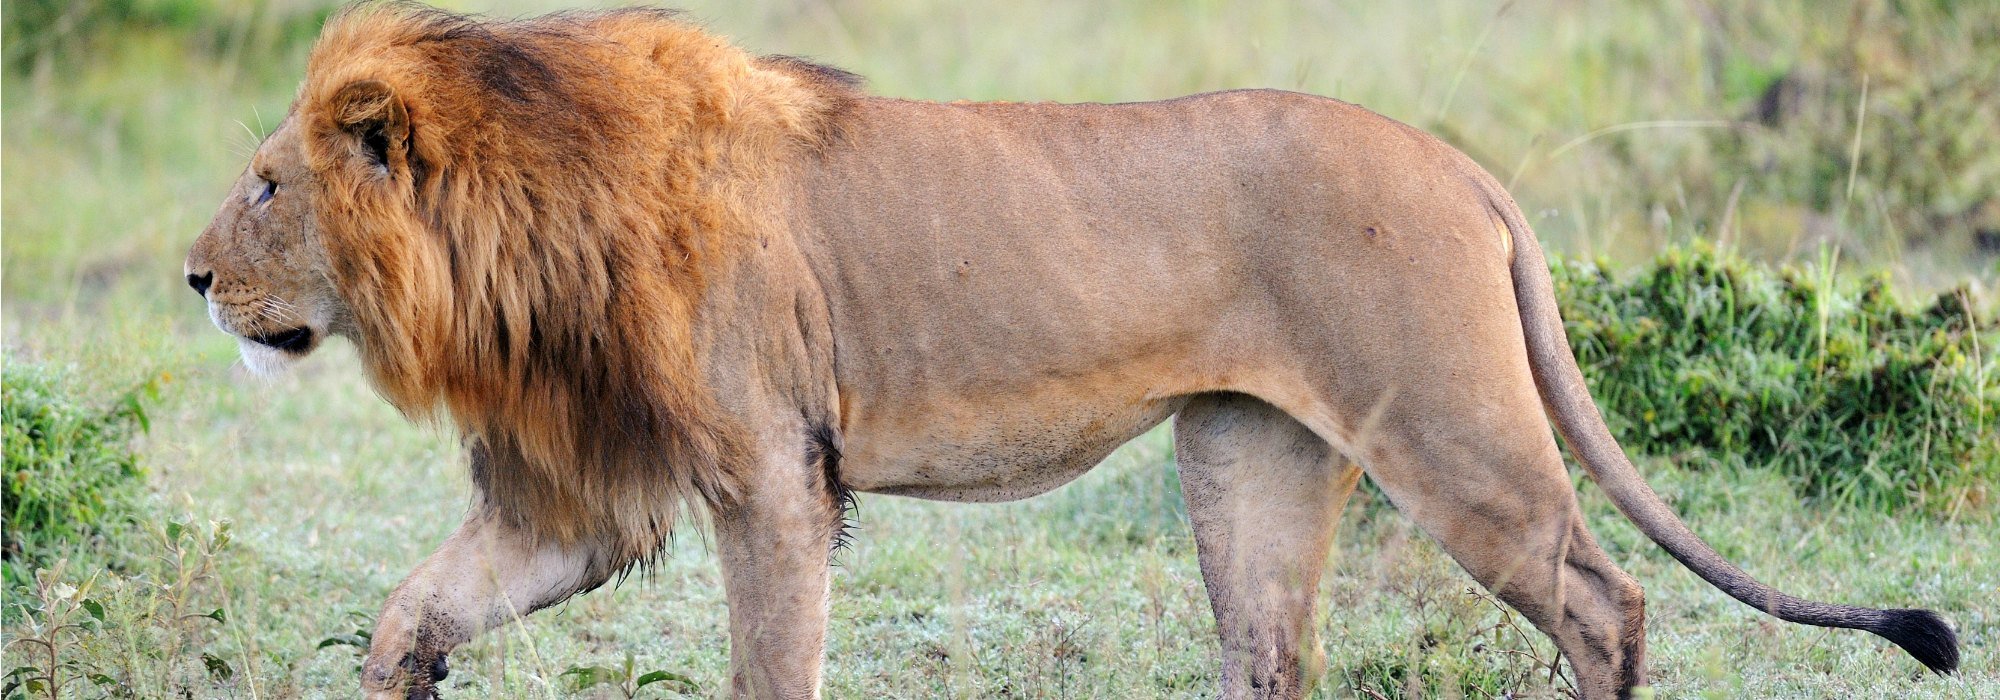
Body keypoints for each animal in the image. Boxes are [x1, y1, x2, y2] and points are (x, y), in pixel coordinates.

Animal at [183, 4, 1959, 699]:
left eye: (268, 184)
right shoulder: (589, 495)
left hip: (1453, 435)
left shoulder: (773, 474)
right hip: (1248, 452)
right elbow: (415, 609)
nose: (196, 278)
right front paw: (402, 677)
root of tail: (1465, 169)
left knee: (1605, 597)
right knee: (1271, 650)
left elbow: (772, 667)